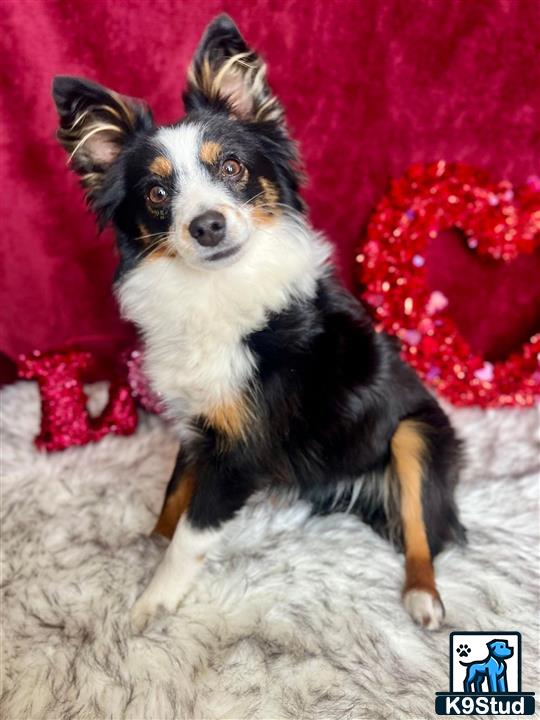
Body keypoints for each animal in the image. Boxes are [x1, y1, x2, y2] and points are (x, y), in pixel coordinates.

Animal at [51, 11, 464, 632]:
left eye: (232, 166)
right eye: (157, 193)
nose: (207, 226)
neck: (217, 288)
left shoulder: (240, 447)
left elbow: (193, 532)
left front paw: (152, 600)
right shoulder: (199, 423)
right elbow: (175, 492)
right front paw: (149, 542)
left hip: (416, 433)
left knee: (423, 532)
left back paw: (422, 597)